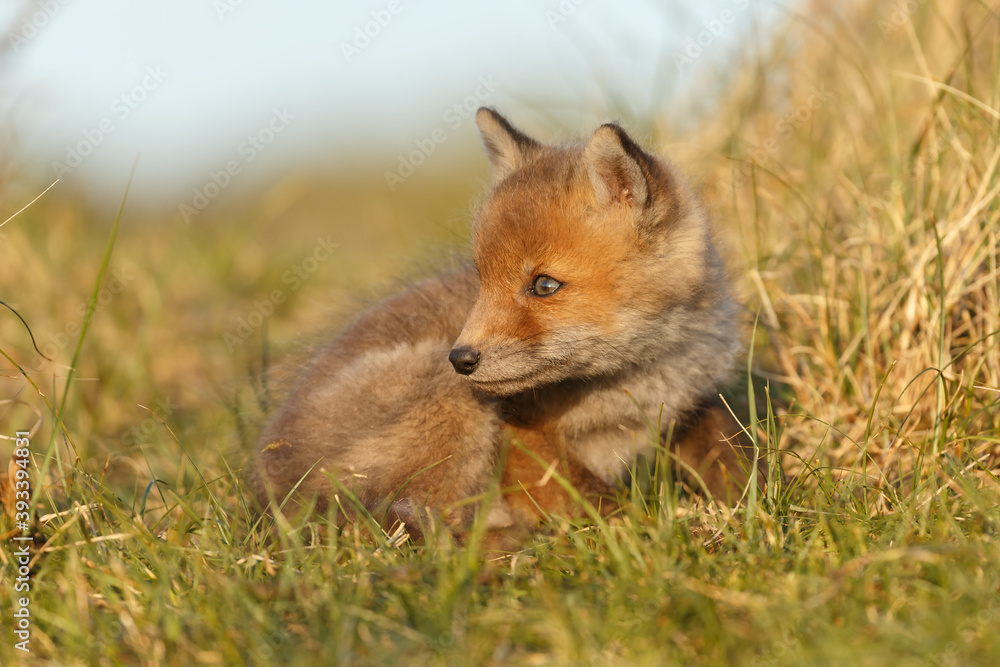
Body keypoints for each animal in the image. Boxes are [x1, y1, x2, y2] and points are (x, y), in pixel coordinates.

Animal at [250, 108, 764, 542]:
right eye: (484, 279)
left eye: (543, 285)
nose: (461, 358)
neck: (636, 381)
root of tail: (267, 496)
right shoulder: (522, 437)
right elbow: (594, 500)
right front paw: (643, 528)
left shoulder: (691, 404)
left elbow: (732, 456)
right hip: (452, 405)